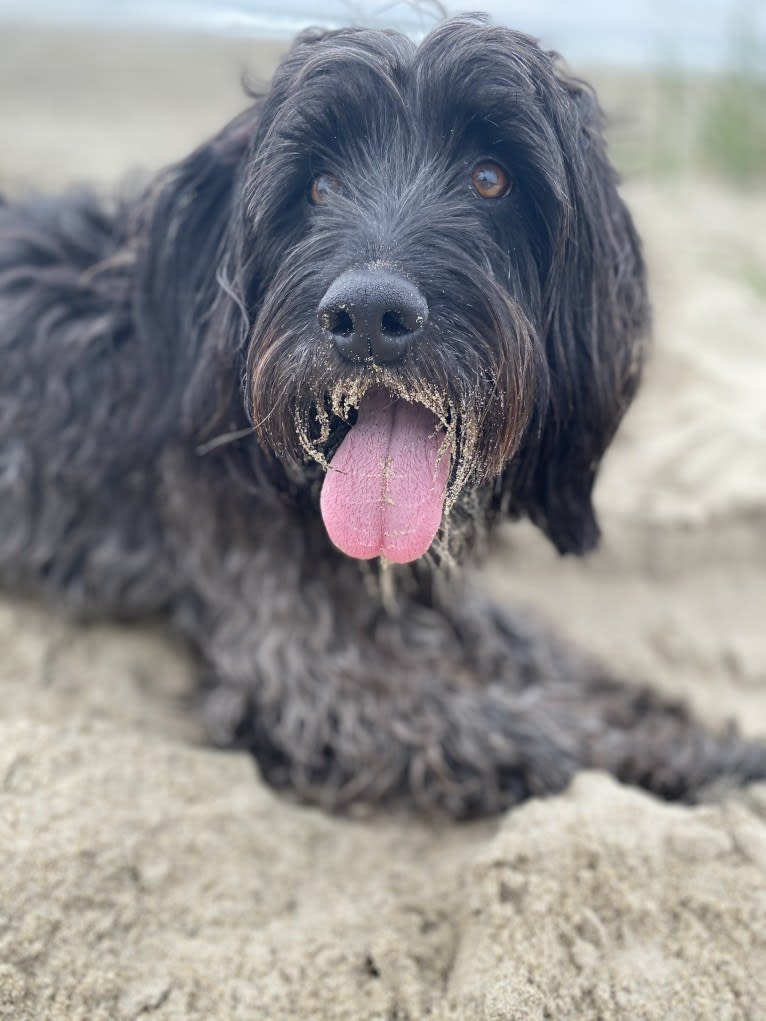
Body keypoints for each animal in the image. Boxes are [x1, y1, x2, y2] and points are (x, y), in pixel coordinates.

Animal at [1, 17, 766, 812]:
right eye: (317, 185)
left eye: (491, 177)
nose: (369, 314)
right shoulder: (329, 687)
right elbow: (536, 728)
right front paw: (682, 754)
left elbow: (542, 654)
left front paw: (677, 725)